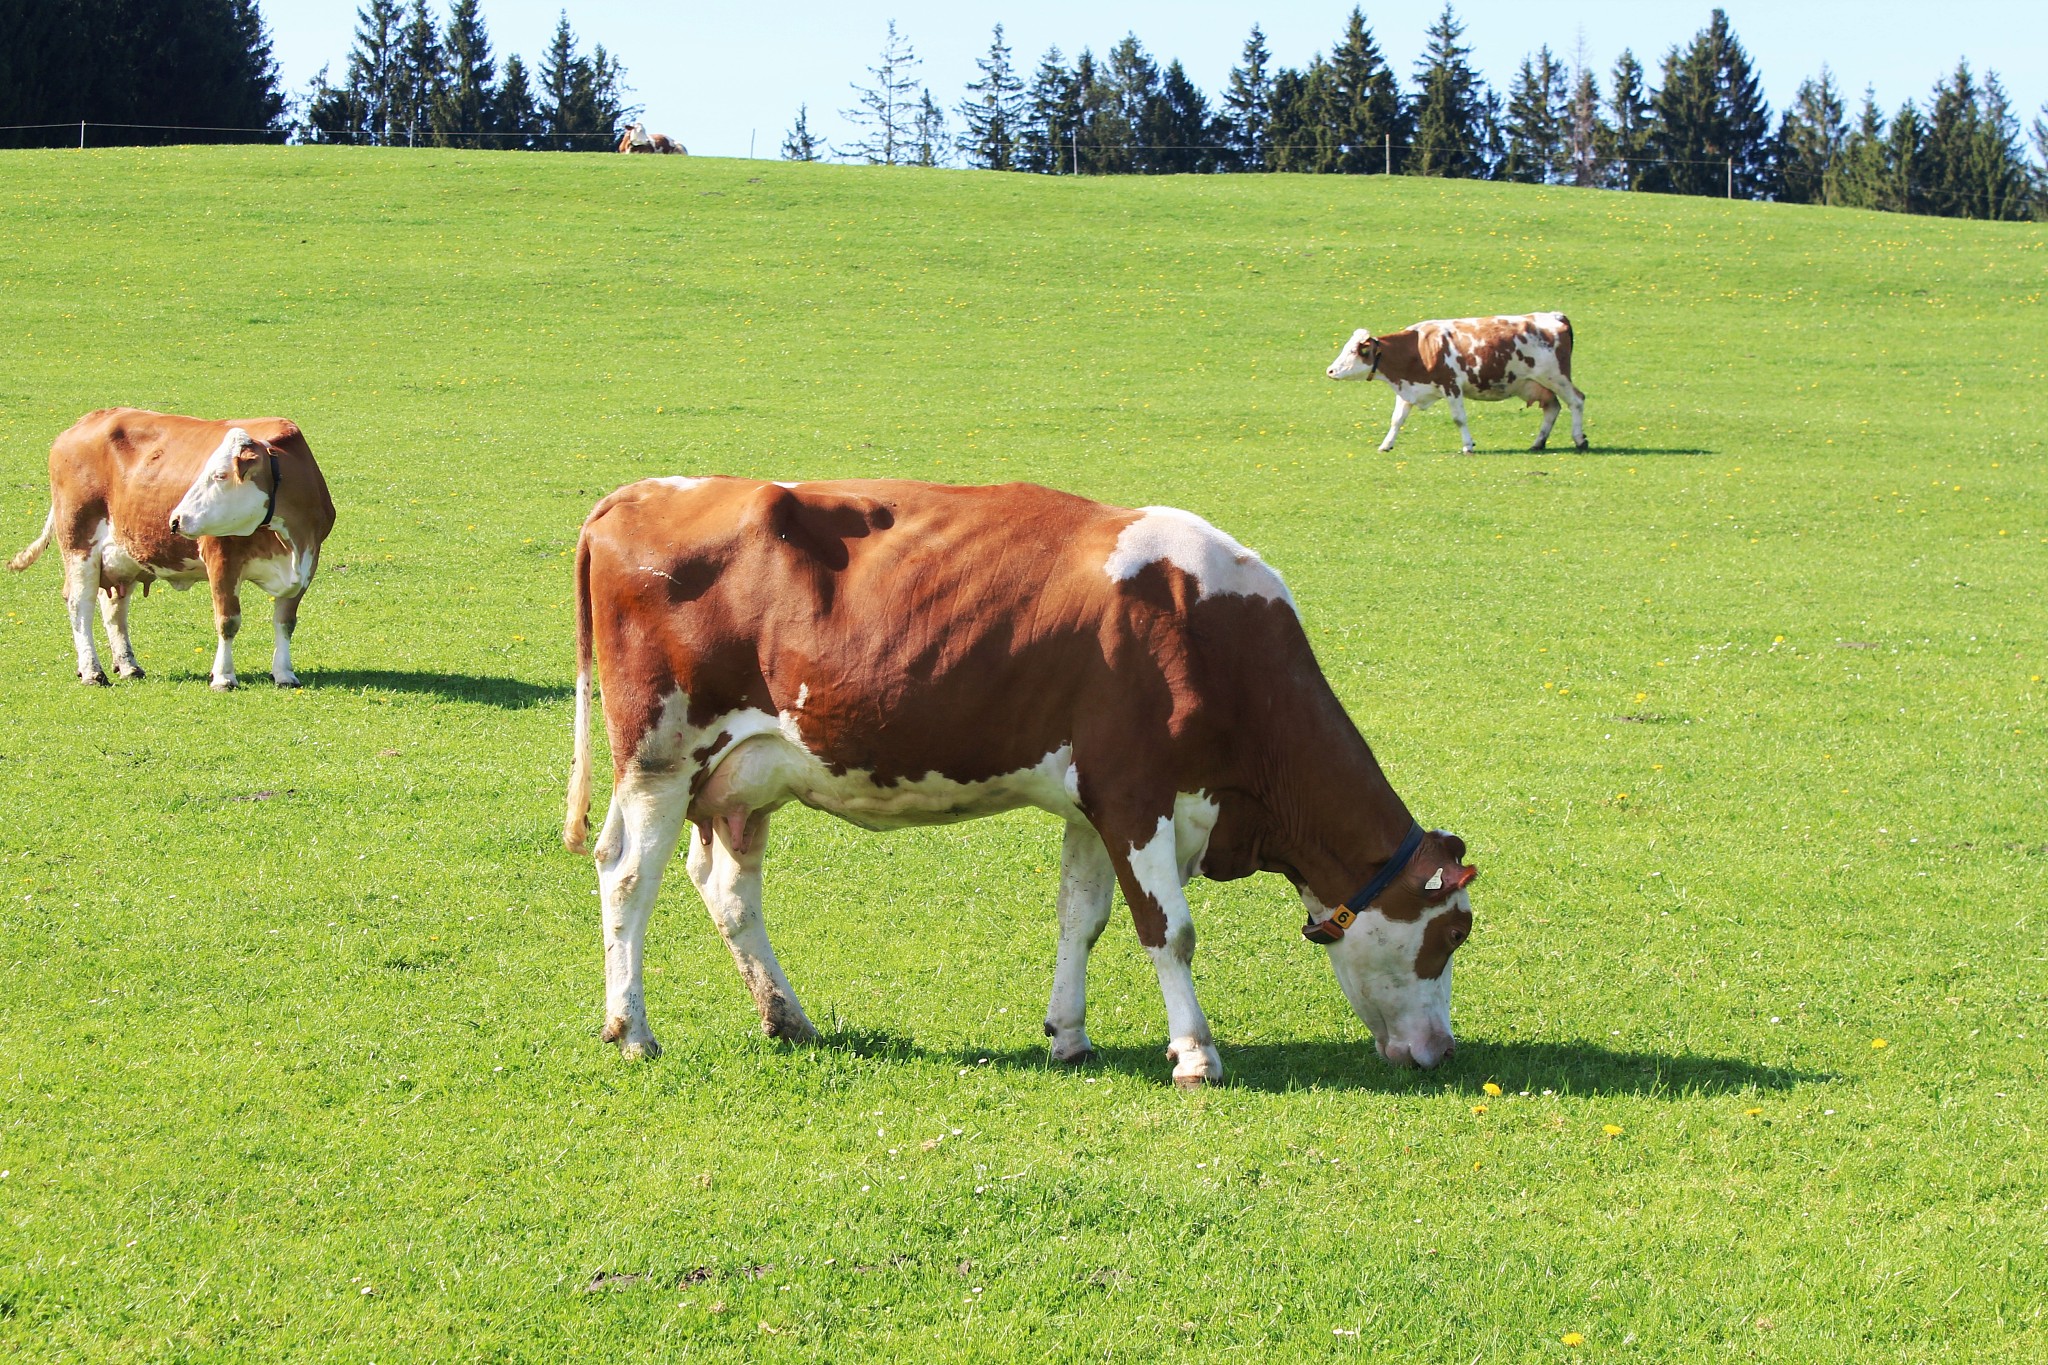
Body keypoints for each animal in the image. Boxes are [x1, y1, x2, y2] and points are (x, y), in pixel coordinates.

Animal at [7, 409, 335, 689]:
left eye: (219, 475)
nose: (175, 520)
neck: (289, 541)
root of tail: (86, 420)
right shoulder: (221, 559)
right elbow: (227, 621)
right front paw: (223, 677)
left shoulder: (307, 564)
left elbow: (285, 622)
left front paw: (284, 674)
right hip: (79, 541)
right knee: (80, 603)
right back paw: (92, 671)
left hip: (122, 551)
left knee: (114, 606)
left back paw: (128, 665)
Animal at [563, 476, 1478, 1085]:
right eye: (1451, 935)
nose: (1443, 1052)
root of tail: (638, 494)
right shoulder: (1137, 793)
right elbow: (1169, 930)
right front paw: (1194, 1051)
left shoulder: (1092, 800)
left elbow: (1084, 917)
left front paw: (1068, 1034)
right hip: (660, 756)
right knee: (629, 873)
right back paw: (632, 1027)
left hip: (740, 782)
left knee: (728, 890)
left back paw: (787, 1017)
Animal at [1326, 312, 1587, 454]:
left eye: (1354, 351)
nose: (1330, 370)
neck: (1420, 348)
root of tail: (1555, 316)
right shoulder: (1407, 389)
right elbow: (1397, 420)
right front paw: (1386, 444)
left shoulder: (1451, 385)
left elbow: (1459, 419)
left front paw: (1467, 446)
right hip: (1534, 383)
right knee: (1552, 408)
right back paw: (1538, 443)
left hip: (1556, 376)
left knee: (1577, 400)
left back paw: (1579, 439)